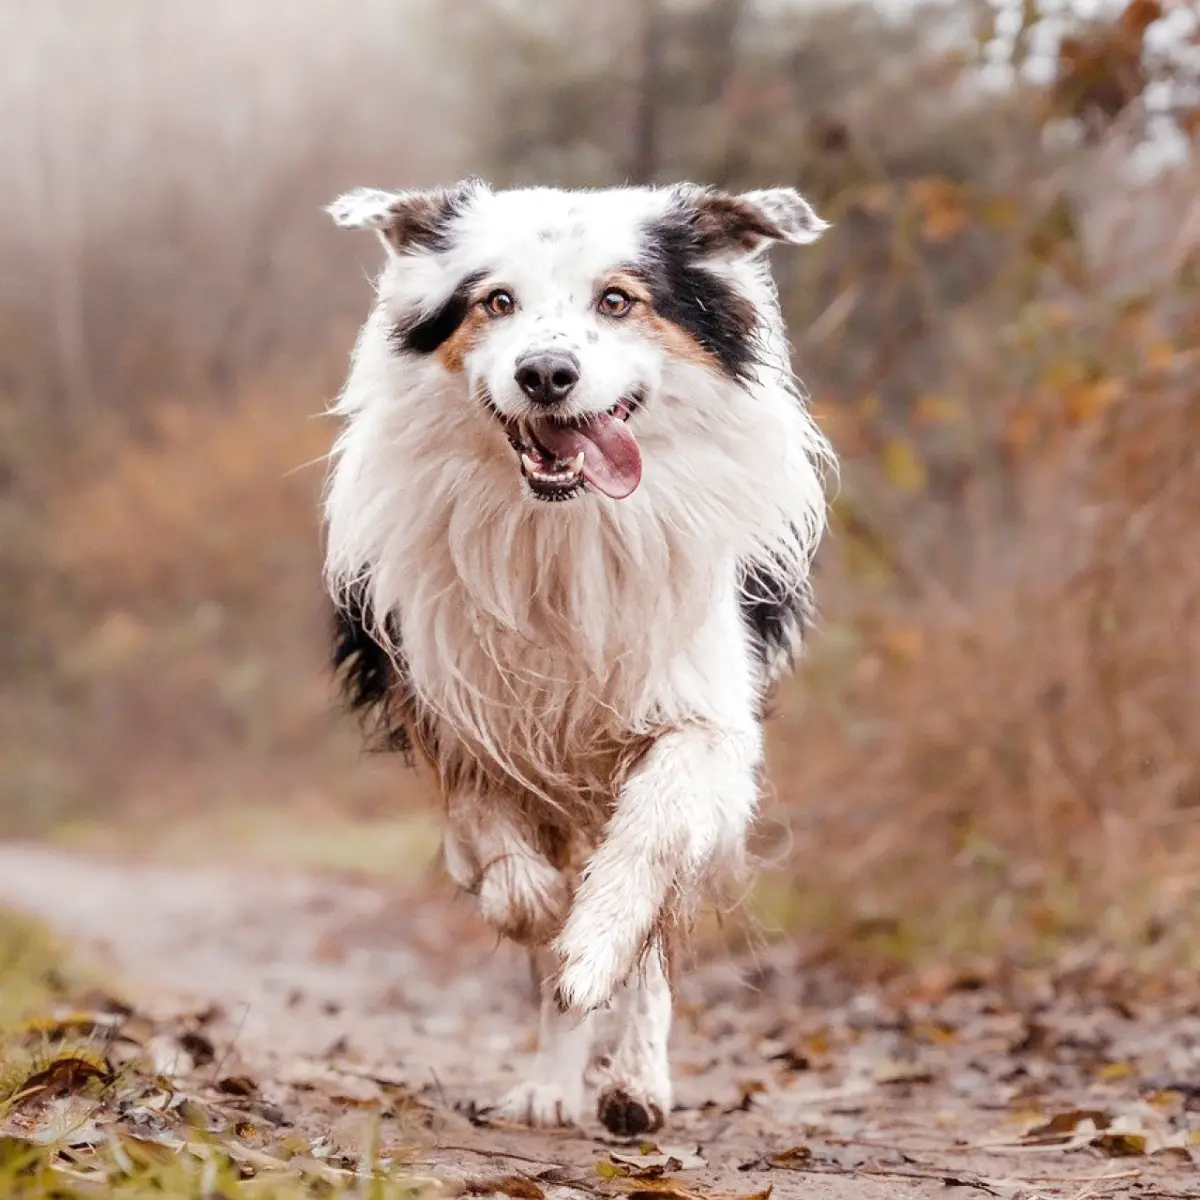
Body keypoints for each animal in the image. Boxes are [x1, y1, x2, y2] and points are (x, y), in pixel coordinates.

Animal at [324, 177, 840, 1132]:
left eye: (618, 301)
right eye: (496, 302)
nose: (545, 374)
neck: (564, 529)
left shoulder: (704, 721)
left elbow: (646, 855)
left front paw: (595, 947)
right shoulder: (453, 708)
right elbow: (504, 863)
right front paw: (544, 918)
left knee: (654, 933)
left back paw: (635, 1084)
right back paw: (555, 1084)